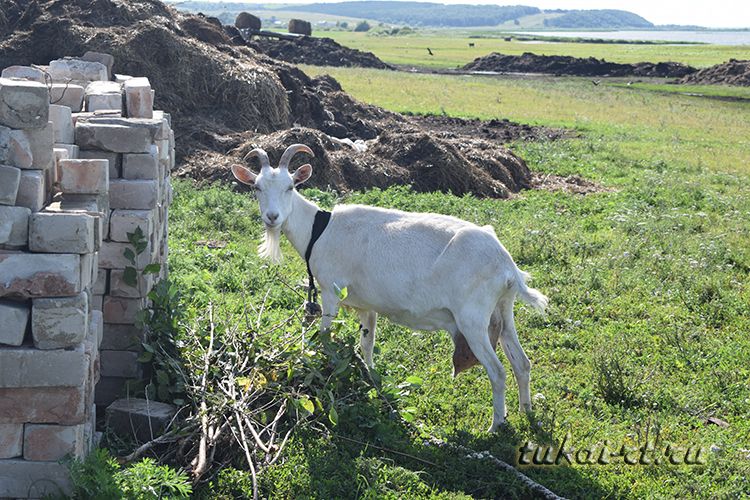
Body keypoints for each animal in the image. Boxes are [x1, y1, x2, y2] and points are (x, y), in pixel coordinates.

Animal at [235, 144, 552, 430]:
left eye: (290, 187)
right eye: (257, 188)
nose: (272, 217)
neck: (318, 229)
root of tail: (507, 266)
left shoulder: (331, 291)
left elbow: (324, 337)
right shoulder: (366, 305)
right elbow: (366, 345)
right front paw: (371, 379)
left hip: (473, 319)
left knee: (497, 372)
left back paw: (496, 425)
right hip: (503, 311)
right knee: (522, 363)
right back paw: (527, 413)